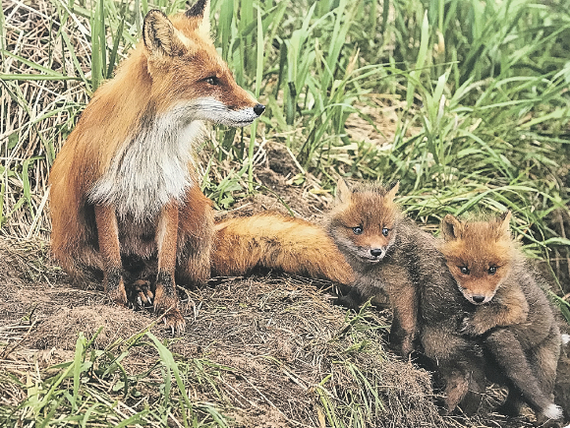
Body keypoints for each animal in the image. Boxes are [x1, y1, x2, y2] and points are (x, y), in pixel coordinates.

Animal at [47, 0, 264, 332]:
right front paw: (115, 308)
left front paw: (168, 310)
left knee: (160, 273)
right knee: (123, 272)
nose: (259, 107)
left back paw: (145, 291)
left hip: (196, 229)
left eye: (227, 76)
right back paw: (134, 291)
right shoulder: (103, 194)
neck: (148, 149)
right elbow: (113, 266)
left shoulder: (169, 194)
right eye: (211, 80)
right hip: (76, 249)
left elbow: (166, 271)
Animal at [438, 213, 560, 422]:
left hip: (542, 366)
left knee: (544, 395)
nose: (478, 298)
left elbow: (495, 311)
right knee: (517, 392)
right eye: (464, 269)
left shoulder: (518, 307)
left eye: (492, 269)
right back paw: (508, 412)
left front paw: (476, 323)